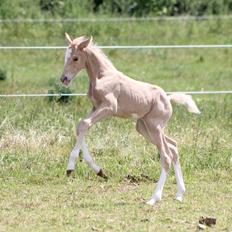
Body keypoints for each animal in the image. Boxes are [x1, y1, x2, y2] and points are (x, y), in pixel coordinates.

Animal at [60, 33, 200, 206]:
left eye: (75, 58)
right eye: (65, 56)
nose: (64, 79)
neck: (102, 76)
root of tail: (168, 99)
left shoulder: (109, 108)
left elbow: (84, 124)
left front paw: (71, 168)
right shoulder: (95, 108)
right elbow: (81, 126)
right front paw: (99, 171)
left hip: (154, 128)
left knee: (166, 156)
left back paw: (154, 198)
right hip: (144, 127)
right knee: (173, 147)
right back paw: (179, 193)